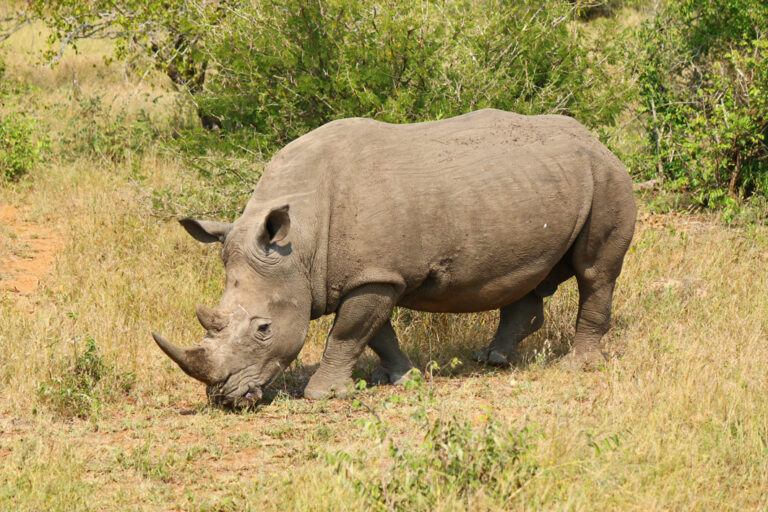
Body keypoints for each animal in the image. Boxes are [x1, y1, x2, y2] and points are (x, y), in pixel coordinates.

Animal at [152, 109, 636, 408]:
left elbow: (348, 333)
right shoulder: (375, 274)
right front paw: (405, 379)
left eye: (263, 329)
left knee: (595, 273)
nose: (224, 398)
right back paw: (491, 359)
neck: (300, 244)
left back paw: (576, 365)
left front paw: (322, 396)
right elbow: (377, 334)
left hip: (607, 177)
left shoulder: (376, 275)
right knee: (529, 274)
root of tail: (596, 138)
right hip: (543, 185)